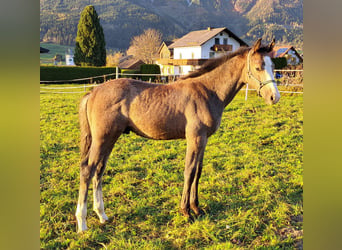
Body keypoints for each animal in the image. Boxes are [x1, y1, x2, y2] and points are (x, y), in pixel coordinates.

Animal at [75, 38, 280, 232]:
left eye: (273, 67)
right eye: (258, 67)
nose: (274, 97)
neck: (208, 91)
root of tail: (93, 92)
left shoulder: (203, 139)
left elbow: (198, 171)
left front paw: (196, 208)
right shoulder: (195, 138)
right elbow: (189, 171)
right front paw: (186, 211)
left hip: (110, 138)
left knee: (99, 170)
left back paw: (102, 215)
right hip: (103, 138)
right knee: (87, 170)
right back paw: (82, 222)